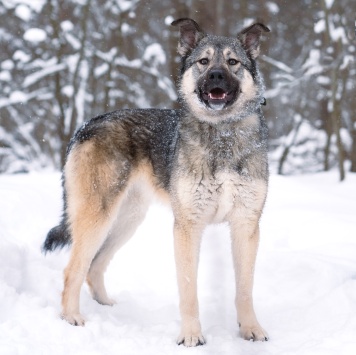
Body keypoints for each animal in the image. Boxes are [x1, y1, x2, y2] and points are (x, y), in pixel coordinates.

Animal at [41, 18, 270, 348]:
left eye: (232, 62)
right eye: (203, 62)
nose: (215, 75)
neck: (222, 134)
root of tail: (87, 125)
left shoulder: (246, 225)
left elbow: (245, 289)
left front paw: (250, 329)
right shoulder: (187, 227)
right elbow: (188, 290)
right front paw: (191, 336)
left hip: (127, 220)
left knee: (94, 266)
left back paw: (106, 306)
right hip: (97, 218)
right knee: (73, 269)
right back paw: (72, 318)